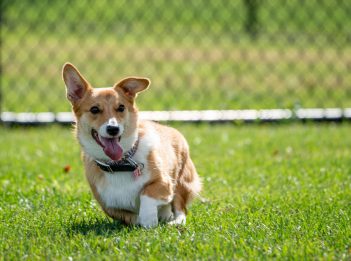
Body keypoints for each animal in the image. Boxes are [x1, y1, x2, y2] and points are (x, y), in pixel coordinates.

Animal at [62, 62, 202, 226]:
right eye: (94, 109)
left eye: (121, 108)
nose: (113, 129)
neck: (120, 164)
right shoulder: (109, 206)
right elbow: (133, 218)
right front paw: (146, 220)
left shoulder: (164, 183)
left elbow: (146, 195)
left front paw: (149, 220)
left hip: (181, 180)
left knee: (181, 209)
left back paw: (174, 222)